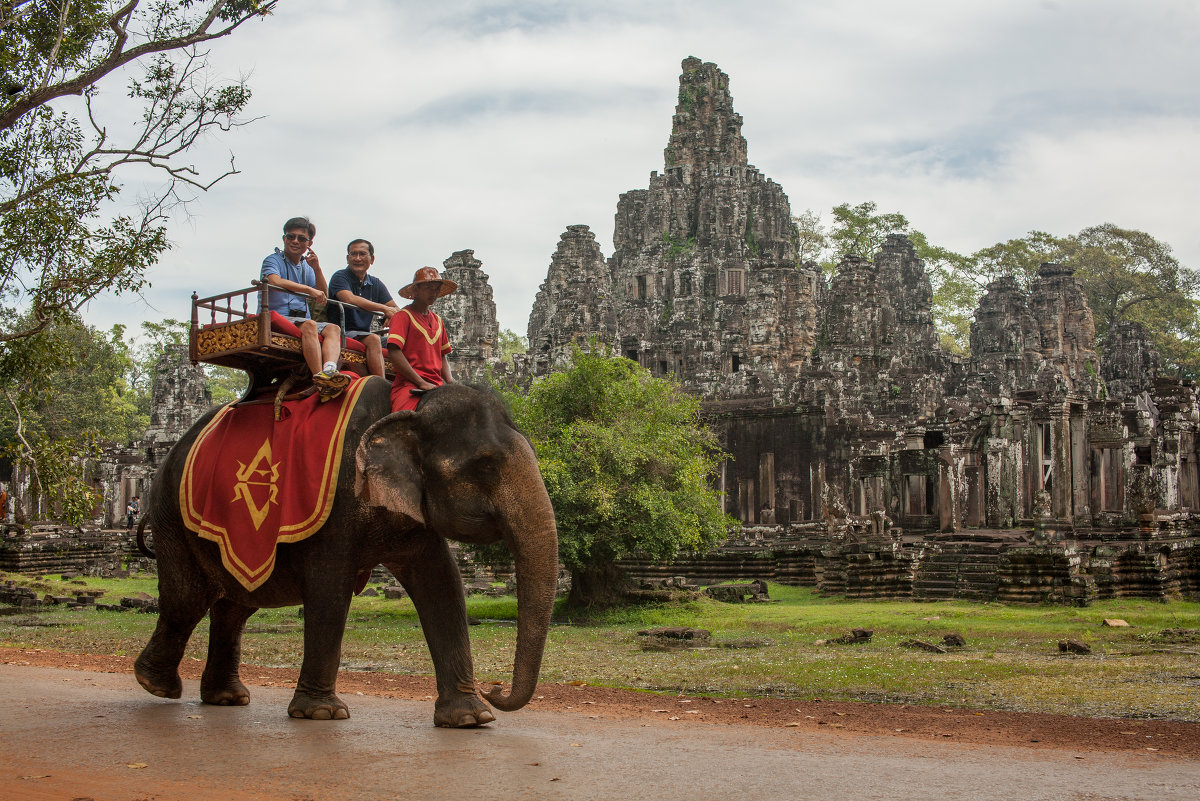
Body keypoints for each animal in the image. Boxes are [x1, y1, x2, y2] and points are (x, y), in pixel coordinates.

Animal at [135, 381, 556, 724]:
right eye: (485, 466)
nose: (494, 687)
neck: (409, 406)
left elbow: (443, 585)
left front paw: (471, 718)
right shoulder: (336, 502)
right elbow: (329, 587)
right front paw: (321, 713)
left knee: (236, 604)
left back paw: (224, 697)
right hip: (171, 513)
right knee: (187, 598)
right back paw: (157, 685)